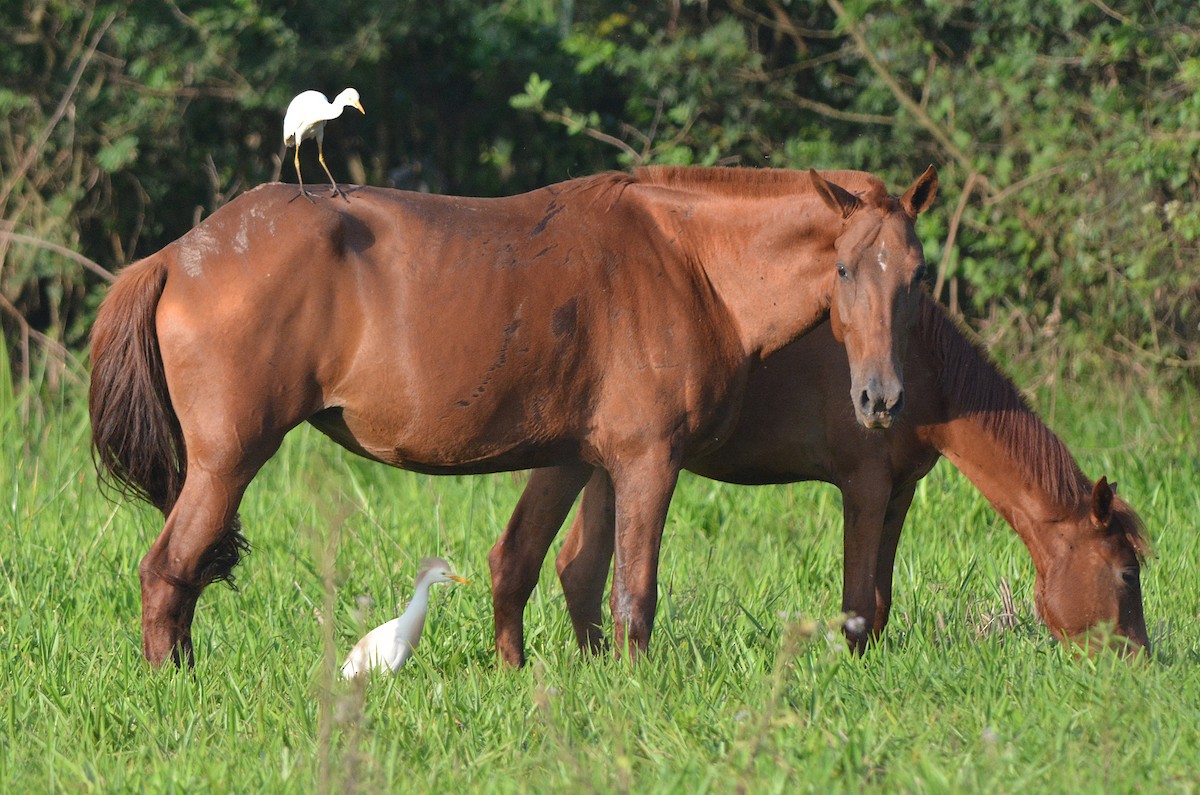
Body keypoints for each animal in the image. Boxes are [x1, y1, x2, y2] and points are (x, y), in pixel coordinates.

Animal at [91, 166, 936, 667]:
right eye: (843, 268)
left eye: (917, 273)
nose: (881, 398)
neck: (685, 260)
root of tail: (173, 255)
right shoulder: (648, 461)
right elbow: (632, 592)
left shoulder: (581, 460)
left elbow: (536, 567)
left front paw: (534, 674)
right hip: (228, 460)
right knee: (166, 571)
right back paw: (175, 682)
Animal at [489, 294, 1152, 667]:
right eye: (1126, 573)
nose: (1140, 665)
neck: (922, 366)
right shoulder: (864, 484)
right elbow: (858, 598)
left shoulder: (899, 492)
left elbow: (880, 598)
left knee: (570, 564)